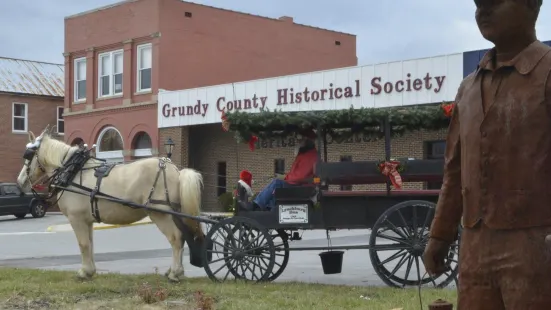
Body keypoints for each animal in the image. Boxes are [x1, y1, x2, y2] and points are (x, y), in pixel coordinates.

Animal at [18, 125, 207, 280]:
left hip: (160, 213)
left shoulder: (76, 218)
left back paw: (175, 273)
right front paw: (90, 271)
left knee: (176, 238)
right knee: (183, 238)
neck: (72, 171)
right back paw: (175, 271)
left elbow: (83, 244)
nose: (20, 182)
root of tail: (176, 170)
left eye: (28, 155)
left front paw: (84, 272)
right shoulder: (87, 220)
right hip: (173, 214)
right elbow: (90, 244)